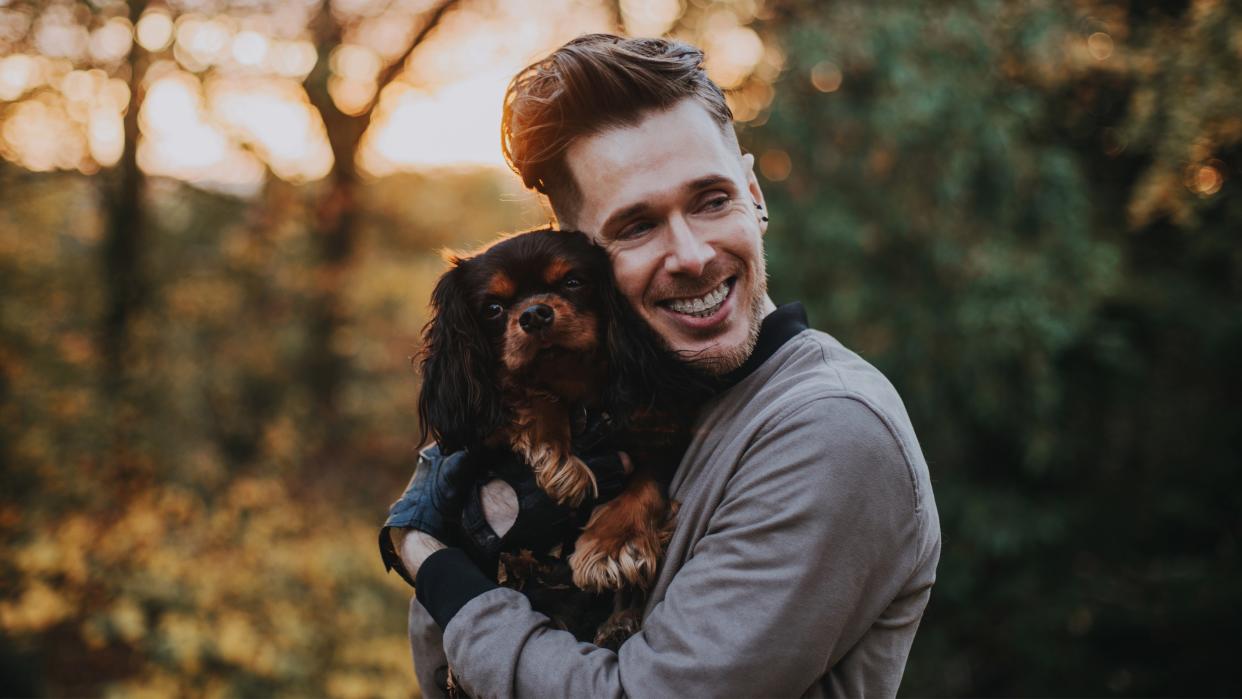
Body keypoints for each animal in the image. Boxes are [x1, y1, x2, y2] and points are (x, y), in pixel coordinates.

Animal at [417, 227, 710, 650]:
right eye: (493, 308)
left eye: (572, 282)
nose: (534, 314)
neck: (578, 391)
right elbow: (526, 394)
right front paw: (555, 455)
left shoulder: (660, 436)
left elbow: (645, 487)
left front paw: (612, 545)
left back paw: (620, 622)